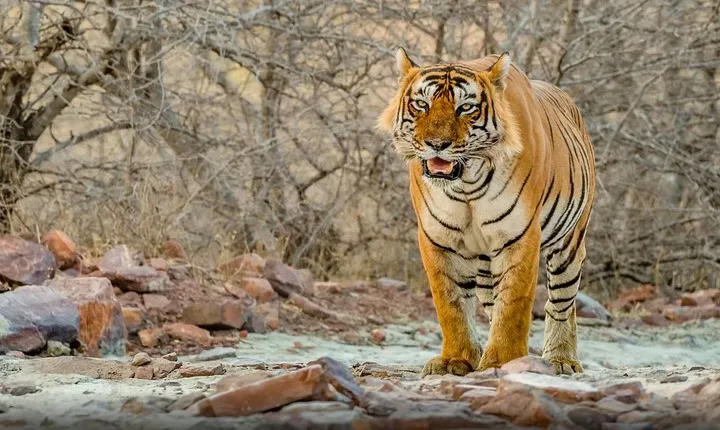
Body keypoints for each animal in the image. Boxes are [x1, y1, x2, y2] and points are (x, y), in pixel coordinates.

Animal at [377, 48, 596, 376]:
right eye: (421, 105)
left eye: (465, 108)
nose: (437, 144)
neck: (467, 184)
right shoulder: (437, 238)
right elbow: (451, 304)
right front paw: (455, 359)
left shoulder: (519, 235)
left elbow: (514, 304)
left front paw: (503, 361)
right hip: (483, 266)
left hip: (569, 244)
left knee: (561, 304)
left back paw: (561, 359)